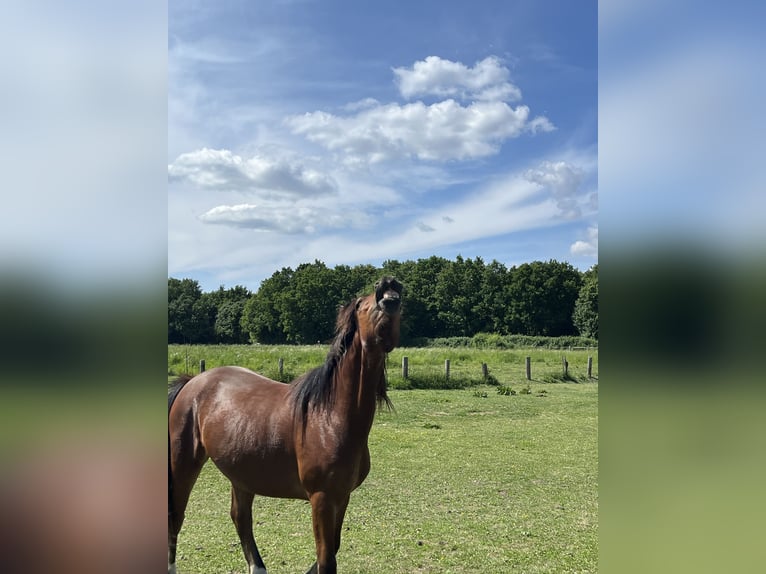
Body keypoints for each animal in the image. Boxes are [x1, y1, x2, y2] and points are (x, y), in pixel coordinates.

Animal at [168, 276, 403, 574]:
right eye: (362, 303)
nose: (389, 290)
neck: (331, 418)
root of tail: (192, 382)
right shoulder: (322, 498)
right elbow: (327, 560)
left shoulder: (342, 496)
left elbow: (332, 550)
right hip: (183, 463)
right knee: (176, 515)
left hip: (241, 473)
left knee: (240, 518)